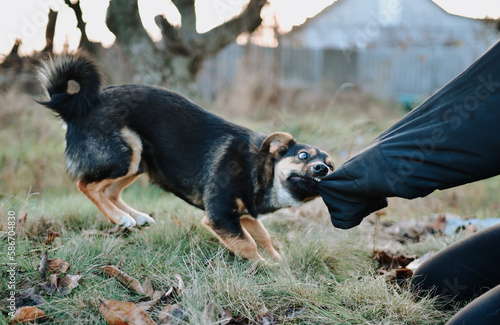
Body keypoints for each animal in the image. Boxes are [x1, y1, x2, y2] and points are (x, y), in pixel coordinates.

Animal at [37, 52, 334, 260]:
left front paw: (278, 261)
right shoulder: (221, 217)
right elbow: (248, 245)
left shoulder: (246, 216)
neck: (260, 167)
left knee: (108, 191)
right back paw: (121, 218)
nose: (323, 170)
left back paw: (135, 217)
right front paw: (264, 267)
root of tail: (76, 106)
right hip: (126, 154)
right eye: (304, 156)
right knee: (86, 185)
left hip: (139, 161)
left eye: (330, 165)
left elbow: (264, 238)